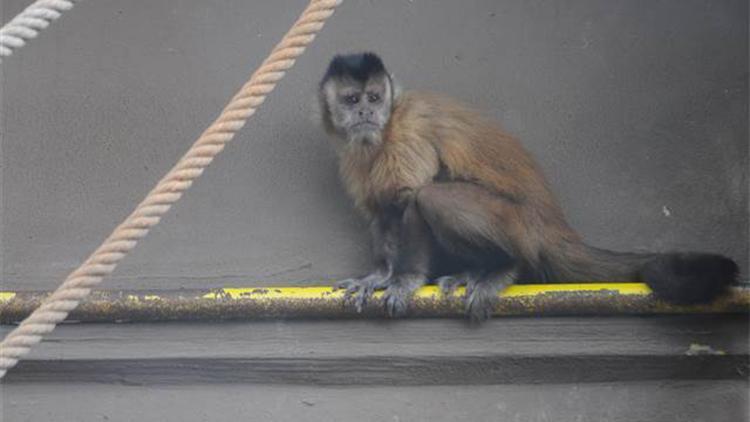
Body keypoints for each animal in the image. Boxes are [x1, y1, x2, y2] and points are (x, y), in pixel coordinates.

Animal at [318, 52, 740, 320]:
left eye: (375, 97)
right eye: (352, 99)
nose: (366, 112)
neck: (387, 125)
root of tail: (554, 226)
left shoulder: (409, 129)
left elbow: (407, 199)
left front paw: (405, 280)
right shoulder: (354, 152)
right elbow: (381, 210)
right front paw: (379, 275)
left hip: (519, 227)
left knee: (432, 196)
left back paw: (506, 267)